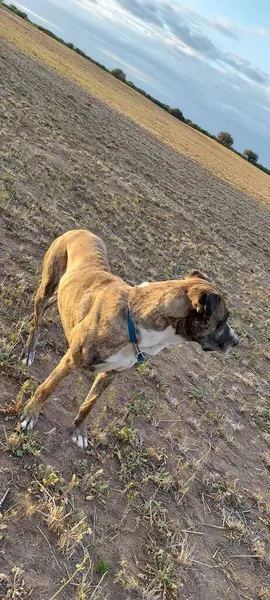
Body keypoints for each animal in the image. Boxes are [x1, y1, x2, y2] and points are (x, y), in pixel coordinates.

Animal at [19, 227, 238, 448]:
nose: (237, 341)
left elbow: (90, 403)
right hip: (47, 285)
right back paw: (29, 350)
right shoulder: (71, 361)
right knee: (38, 318)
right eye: (223, 319)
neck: (134, 317)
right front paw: (31, 413)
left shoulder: (111, 373)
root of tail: (80, 230)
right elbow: (47, 388)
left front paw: (79, 430)